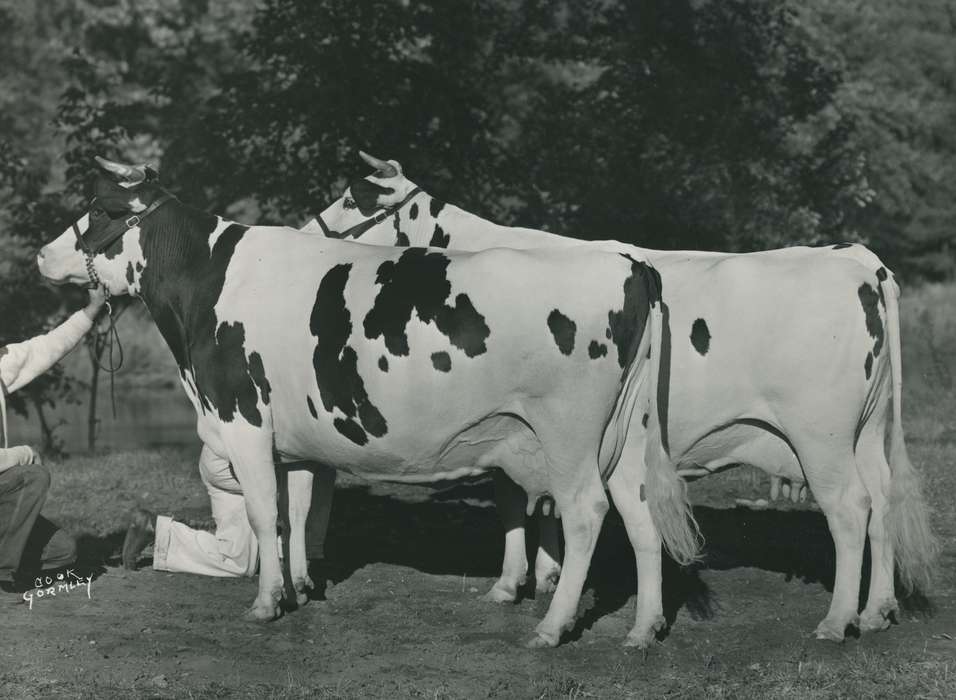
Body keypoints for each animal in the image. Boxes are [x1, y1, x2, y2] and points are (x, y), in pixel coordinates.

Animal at [35, 157, 688, 648]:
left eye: (100, 211)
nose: (42, 254)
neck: (208, 284)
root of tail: (630, 261)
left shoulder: (243, 419)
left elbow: (263, 513)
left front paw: (266, 603)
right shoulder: (295, 440)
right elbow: (297, 513)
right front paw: (300, 586)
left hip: (569, 433)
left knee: (586, 513)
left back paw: (552, 628)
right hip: (626, 435)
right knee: (640, 513)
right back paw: (644, 628)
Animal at [304, 152, 939, 642]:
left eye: (354, 199)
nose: (306, 235)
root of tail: (860, 261)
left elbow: (516, 500)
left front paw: (514, 585)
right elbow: (540, 501)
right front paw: (546, 576)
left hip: (820, 435)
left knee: (850, 508)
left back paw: (837, 621)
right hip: (866, 431)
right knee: (881, 501)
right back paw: (877, 611)